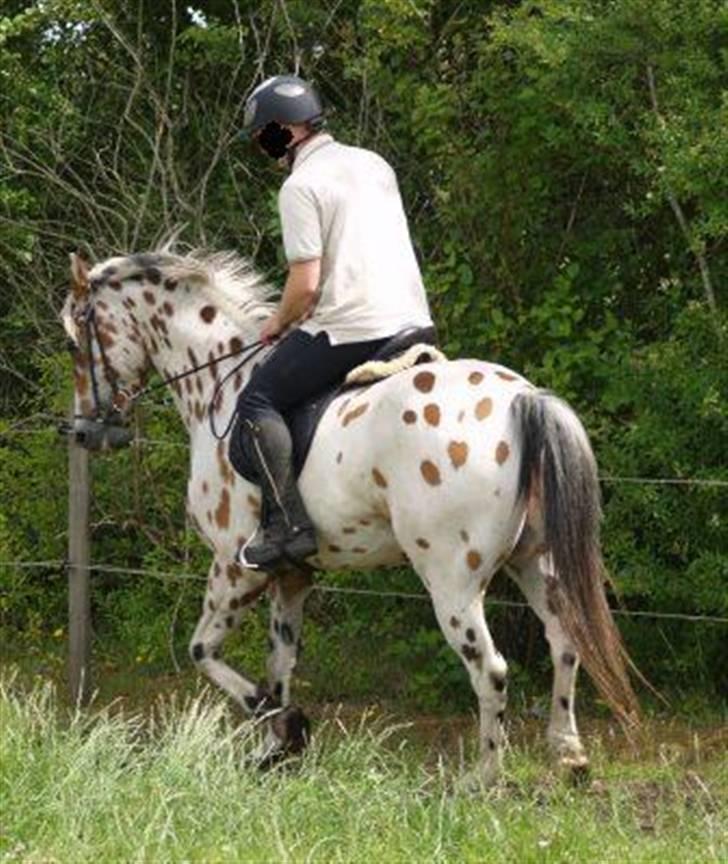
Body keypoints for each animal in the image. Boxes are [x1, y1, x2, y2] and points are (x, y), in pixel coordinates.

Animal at [65, 250, 640, 788]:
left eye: (73, 343)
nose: (84, 433)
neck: (219, 385)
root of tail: (523, 399)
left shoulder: (235, 566)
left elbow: (202, 651)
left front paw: (286, 727)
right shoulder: (292, 576)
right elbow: (280, 664)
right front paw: (278, 748)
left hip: (452, 582)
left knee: (491, 669)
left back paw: (482, 777)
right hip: (533, 562)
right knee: (564, 641)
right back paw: (568, 754)